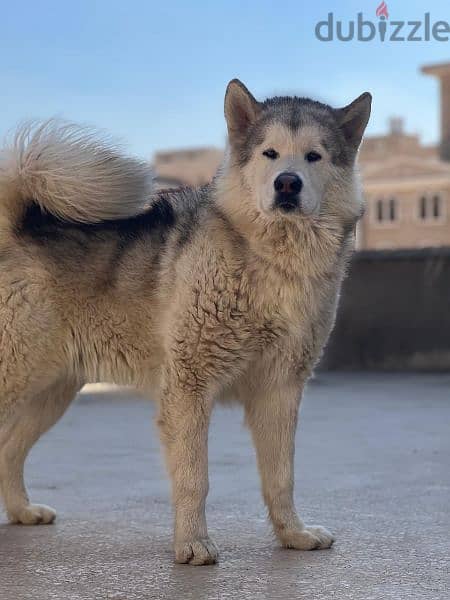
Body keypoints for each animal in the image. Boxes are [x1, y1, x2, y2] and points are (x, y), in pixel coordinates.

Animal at [0, 81, 370, 568]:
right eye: (270, 153)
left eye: (314, 156)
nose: (287, 183)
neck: (270, 259)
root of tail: (15, 229)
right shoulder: (190, 385)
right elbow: (195, 477)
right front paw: (193, 543)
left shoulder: (280, 389)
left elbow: (281, 476)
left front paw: (293, 534)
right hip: (19, 378)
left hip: (51, 393)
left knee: (8, 450)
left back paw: (22, 511)